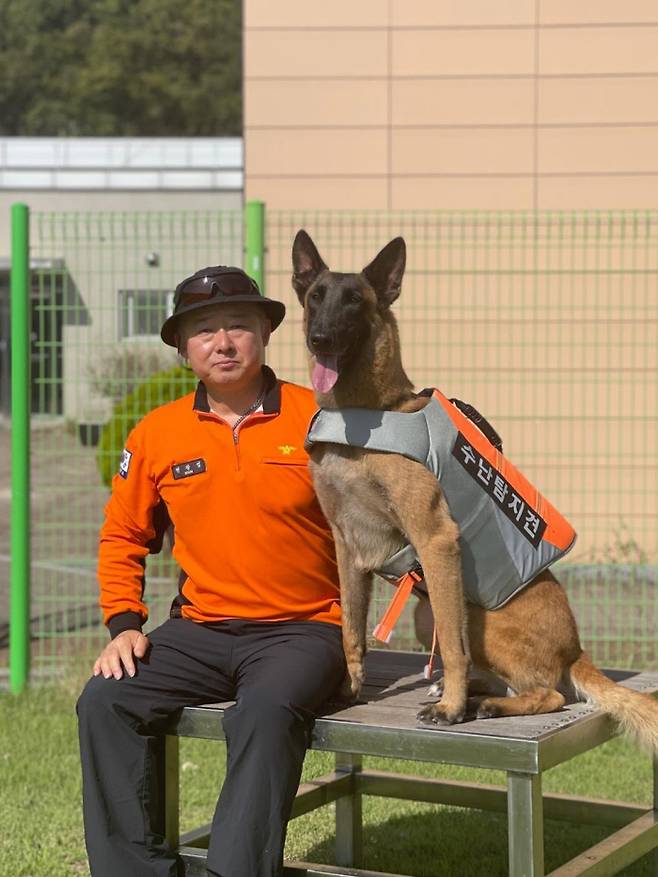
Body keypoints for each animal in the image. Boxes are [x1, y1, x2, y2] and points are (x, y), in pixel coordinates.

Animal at [290, 226, 656, 744]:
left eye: (355, 302)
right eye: (316, 297)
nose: (319, 337)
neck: (363, 413)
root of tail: (576, 649)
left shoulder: (436, 541)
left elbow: (453, 645)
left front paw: (451, 710)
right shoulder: (348, 546)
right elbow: (350, 631)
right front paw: (350, 689)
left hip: (476, 615)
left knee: (546, 692)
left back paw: (479, 703)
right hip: (424, 615)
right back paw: (466, 692)